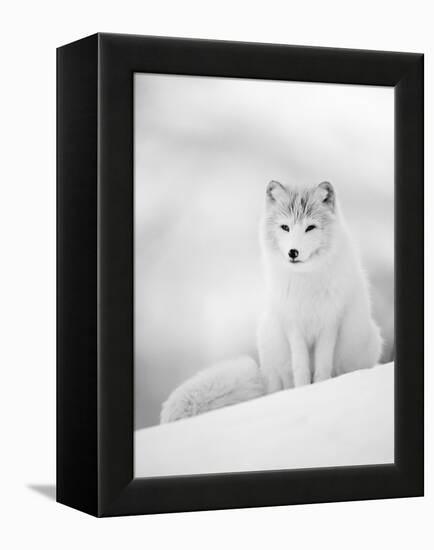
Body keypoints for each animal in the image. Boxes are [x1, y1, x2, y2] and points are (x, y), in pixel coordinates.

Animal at [159, 179, 380, 424]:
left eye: (310, 227)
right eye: (285, 227)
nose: (293, 252)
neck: (305, 282)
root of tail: (262, 376)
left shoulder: (330, 323)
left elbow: (322, 367)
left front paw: (318, 389)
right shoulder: (292, 324)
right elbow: (301, 368)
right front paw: (303, 392)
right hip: (270, 343)